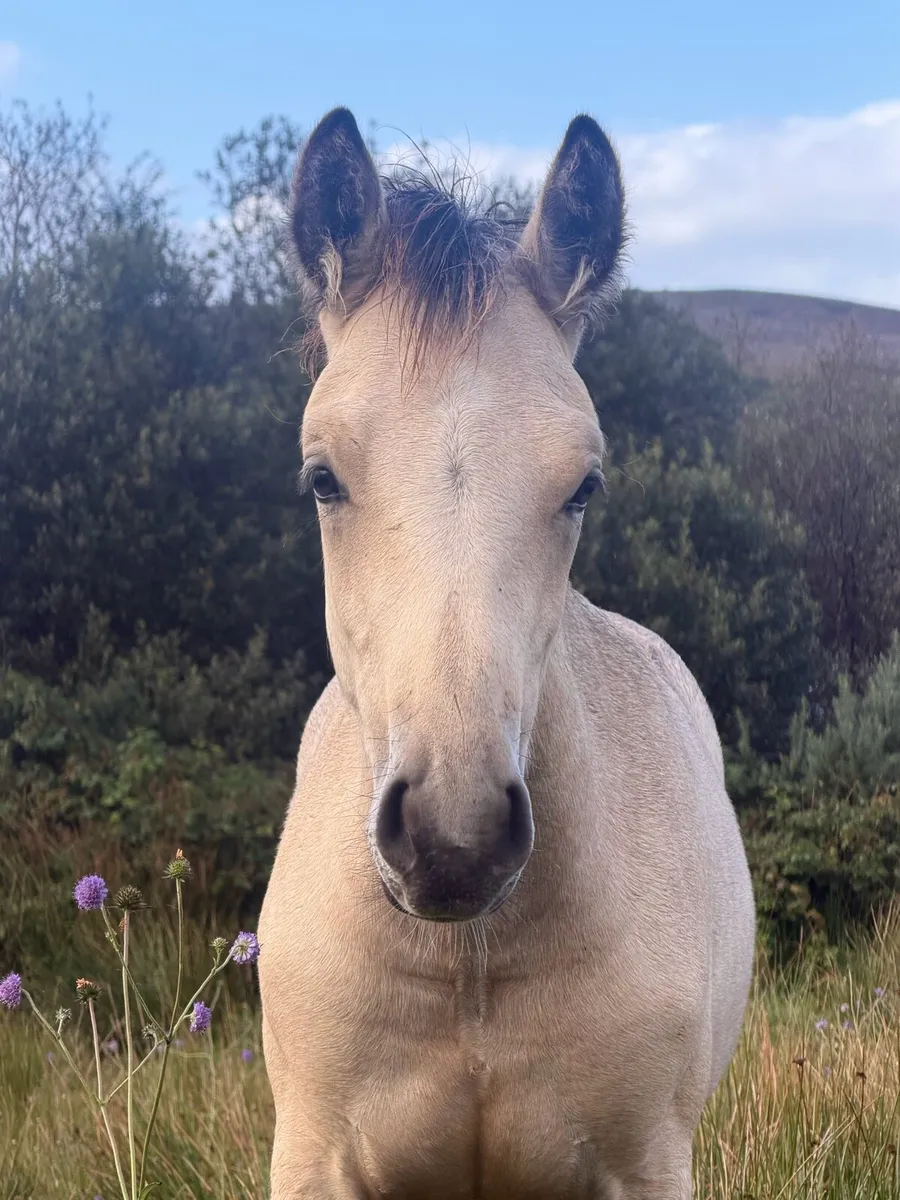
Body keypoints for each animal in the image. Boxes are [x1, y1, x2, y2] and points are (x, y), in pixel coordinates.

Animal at [258, 106, 755, 1199]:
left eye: (582, 486)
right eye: (322, 477)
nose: (456, 836)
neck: (472, 963)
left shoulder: (648, 1166)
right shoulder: (314, 1159)